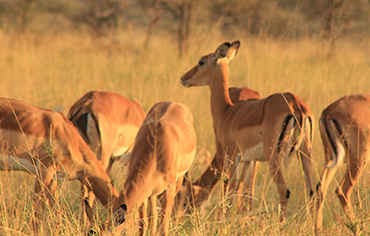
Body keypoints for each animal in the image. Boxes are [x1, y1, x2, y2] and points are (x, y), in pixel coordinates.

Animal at [89, 101, 197, 236]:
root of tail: (175, 103)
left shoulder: (169, 188)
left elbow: (163, 227)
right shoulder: (145, 189)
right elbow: (143, 223)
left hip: (178, 180)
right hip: (152, 191)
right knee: (153, 217)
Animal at [181, 40, 314, 221]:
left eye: (201, 61)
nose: (184, 78)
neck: (227, 112)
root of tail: (296, 105)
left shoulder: (232, 156)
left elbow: (230, 191)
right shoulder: (248, 160)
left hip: (274, 158)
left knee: (284, 191)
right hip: (305, 153)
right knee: (315, 191)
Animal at [316, 93, 370, 230]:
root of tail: (328, 111)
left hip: (331, 158)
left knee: (321, 187)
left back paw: (318, 229)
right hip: (360, 159)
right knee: (342, 190)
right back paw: (357, 228)